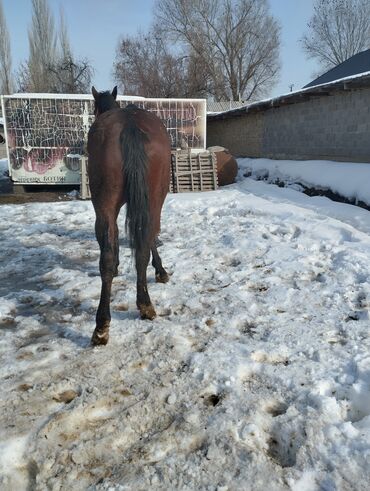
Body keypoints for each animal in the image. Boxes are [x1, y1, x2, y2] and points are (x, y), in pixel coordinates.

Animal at [87, 85, 171, 346]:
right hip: (153, 198)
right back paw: (143, 305)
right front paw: (160, 271)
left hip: (104, 204)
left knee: (109, 252)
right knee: (143, 243)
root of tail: (130, 124)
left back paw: (102, 325)